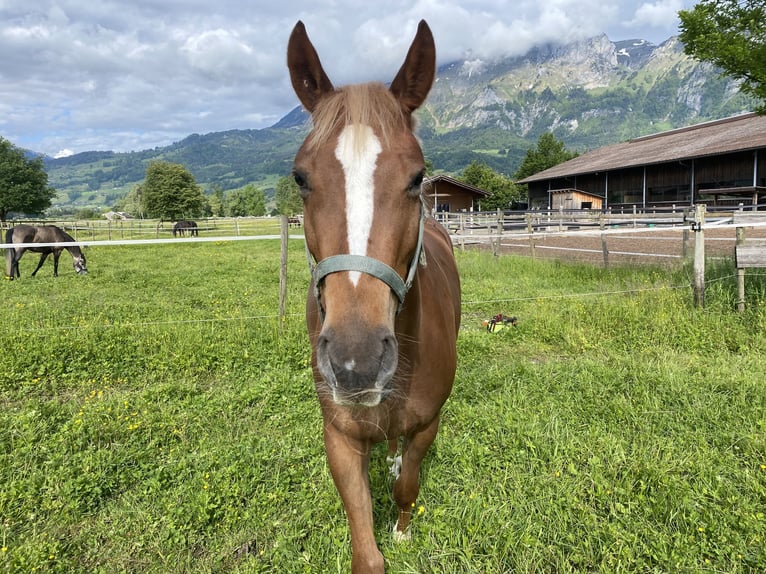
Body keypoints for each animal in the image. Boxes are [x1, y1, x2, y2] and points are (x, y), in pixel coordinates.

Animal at [286, 19, 460, 574]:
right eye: (300, 177)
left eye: (416, 177)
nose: (355, 363)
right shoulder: (339, 435)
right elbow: (365, 546)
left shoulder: (428, 423)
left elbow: (408, 483)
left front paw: (402, 529)